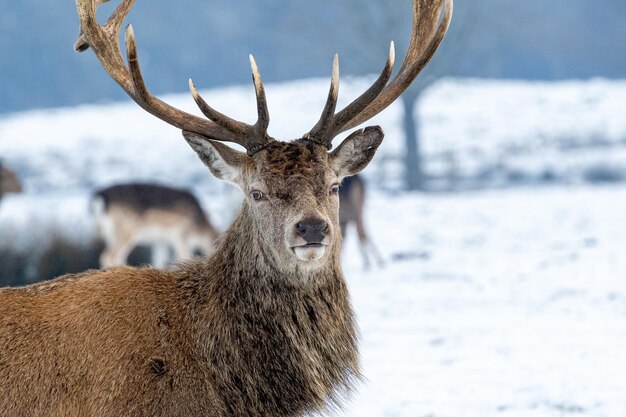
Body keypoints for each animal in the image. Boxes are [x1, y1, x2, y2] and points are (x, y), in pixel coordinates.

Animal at [91, 184, 219, 268]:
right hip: (126, 232)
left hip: (110, 235)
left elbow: (161, 260)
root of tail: (99, 198)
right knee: (109, 256)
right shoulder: (181, 236)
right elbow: (185, 257)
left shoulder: (161, 241)